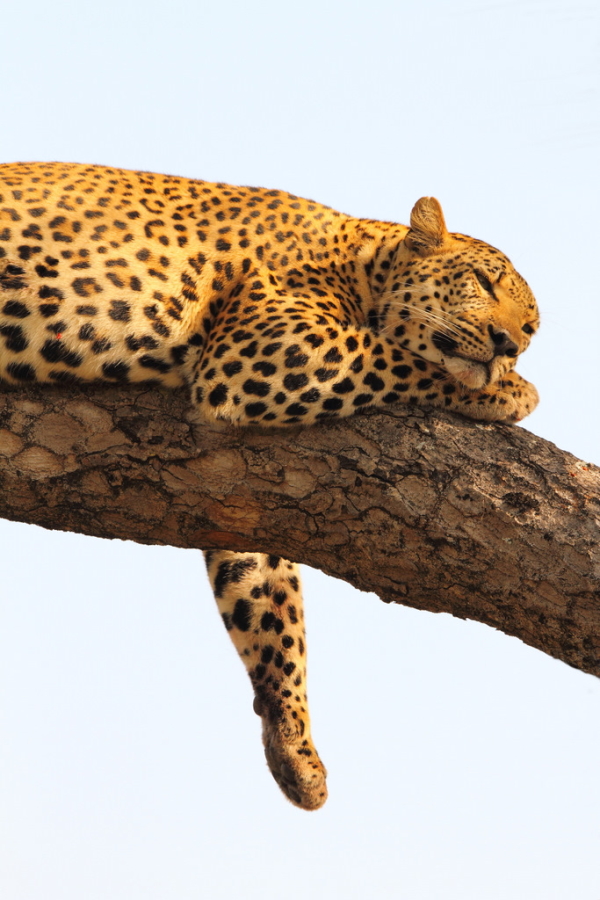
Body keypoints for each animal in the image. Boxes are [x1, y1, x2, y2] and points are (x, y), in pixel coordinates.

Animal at [0, 163, 540, 816]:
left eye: (531, 327)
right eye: (485, 282)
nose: (510, 344)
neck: (361, 261)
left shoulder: (238, 498)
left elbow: (270, 606)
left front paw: (295, 750)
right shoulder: (271, 343)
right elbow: (400, 358)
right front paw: (511, 391)